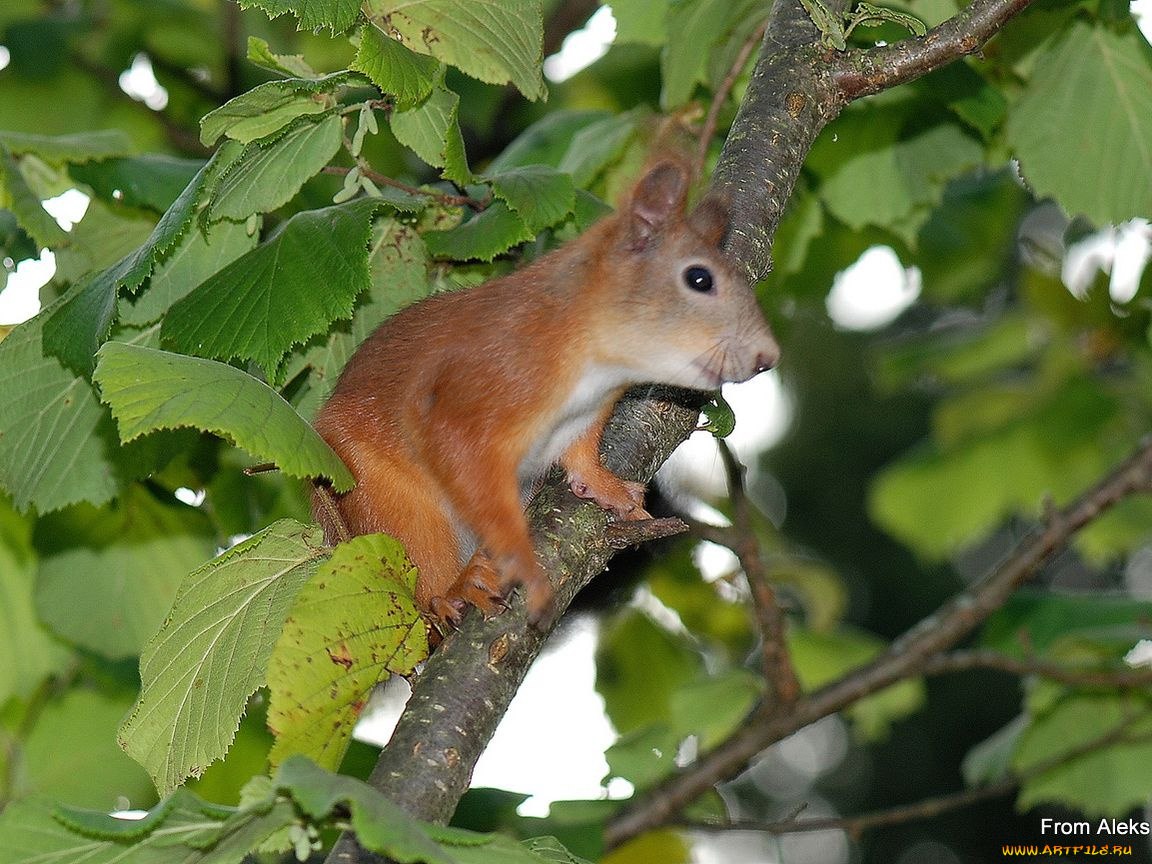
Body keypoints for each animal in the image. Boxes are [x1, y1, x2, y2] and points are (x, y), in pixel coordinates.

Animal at [311, 161, 778, 631]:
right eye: (699, 279)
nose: (767, 357)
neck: (594, 367)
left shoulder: (587, 416)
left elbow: (583, 456)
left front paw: (606, 488)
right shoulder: (476, 394)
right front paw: (524, 564)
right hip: (385, 502)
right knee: (423, 570)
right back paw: (457, 588)